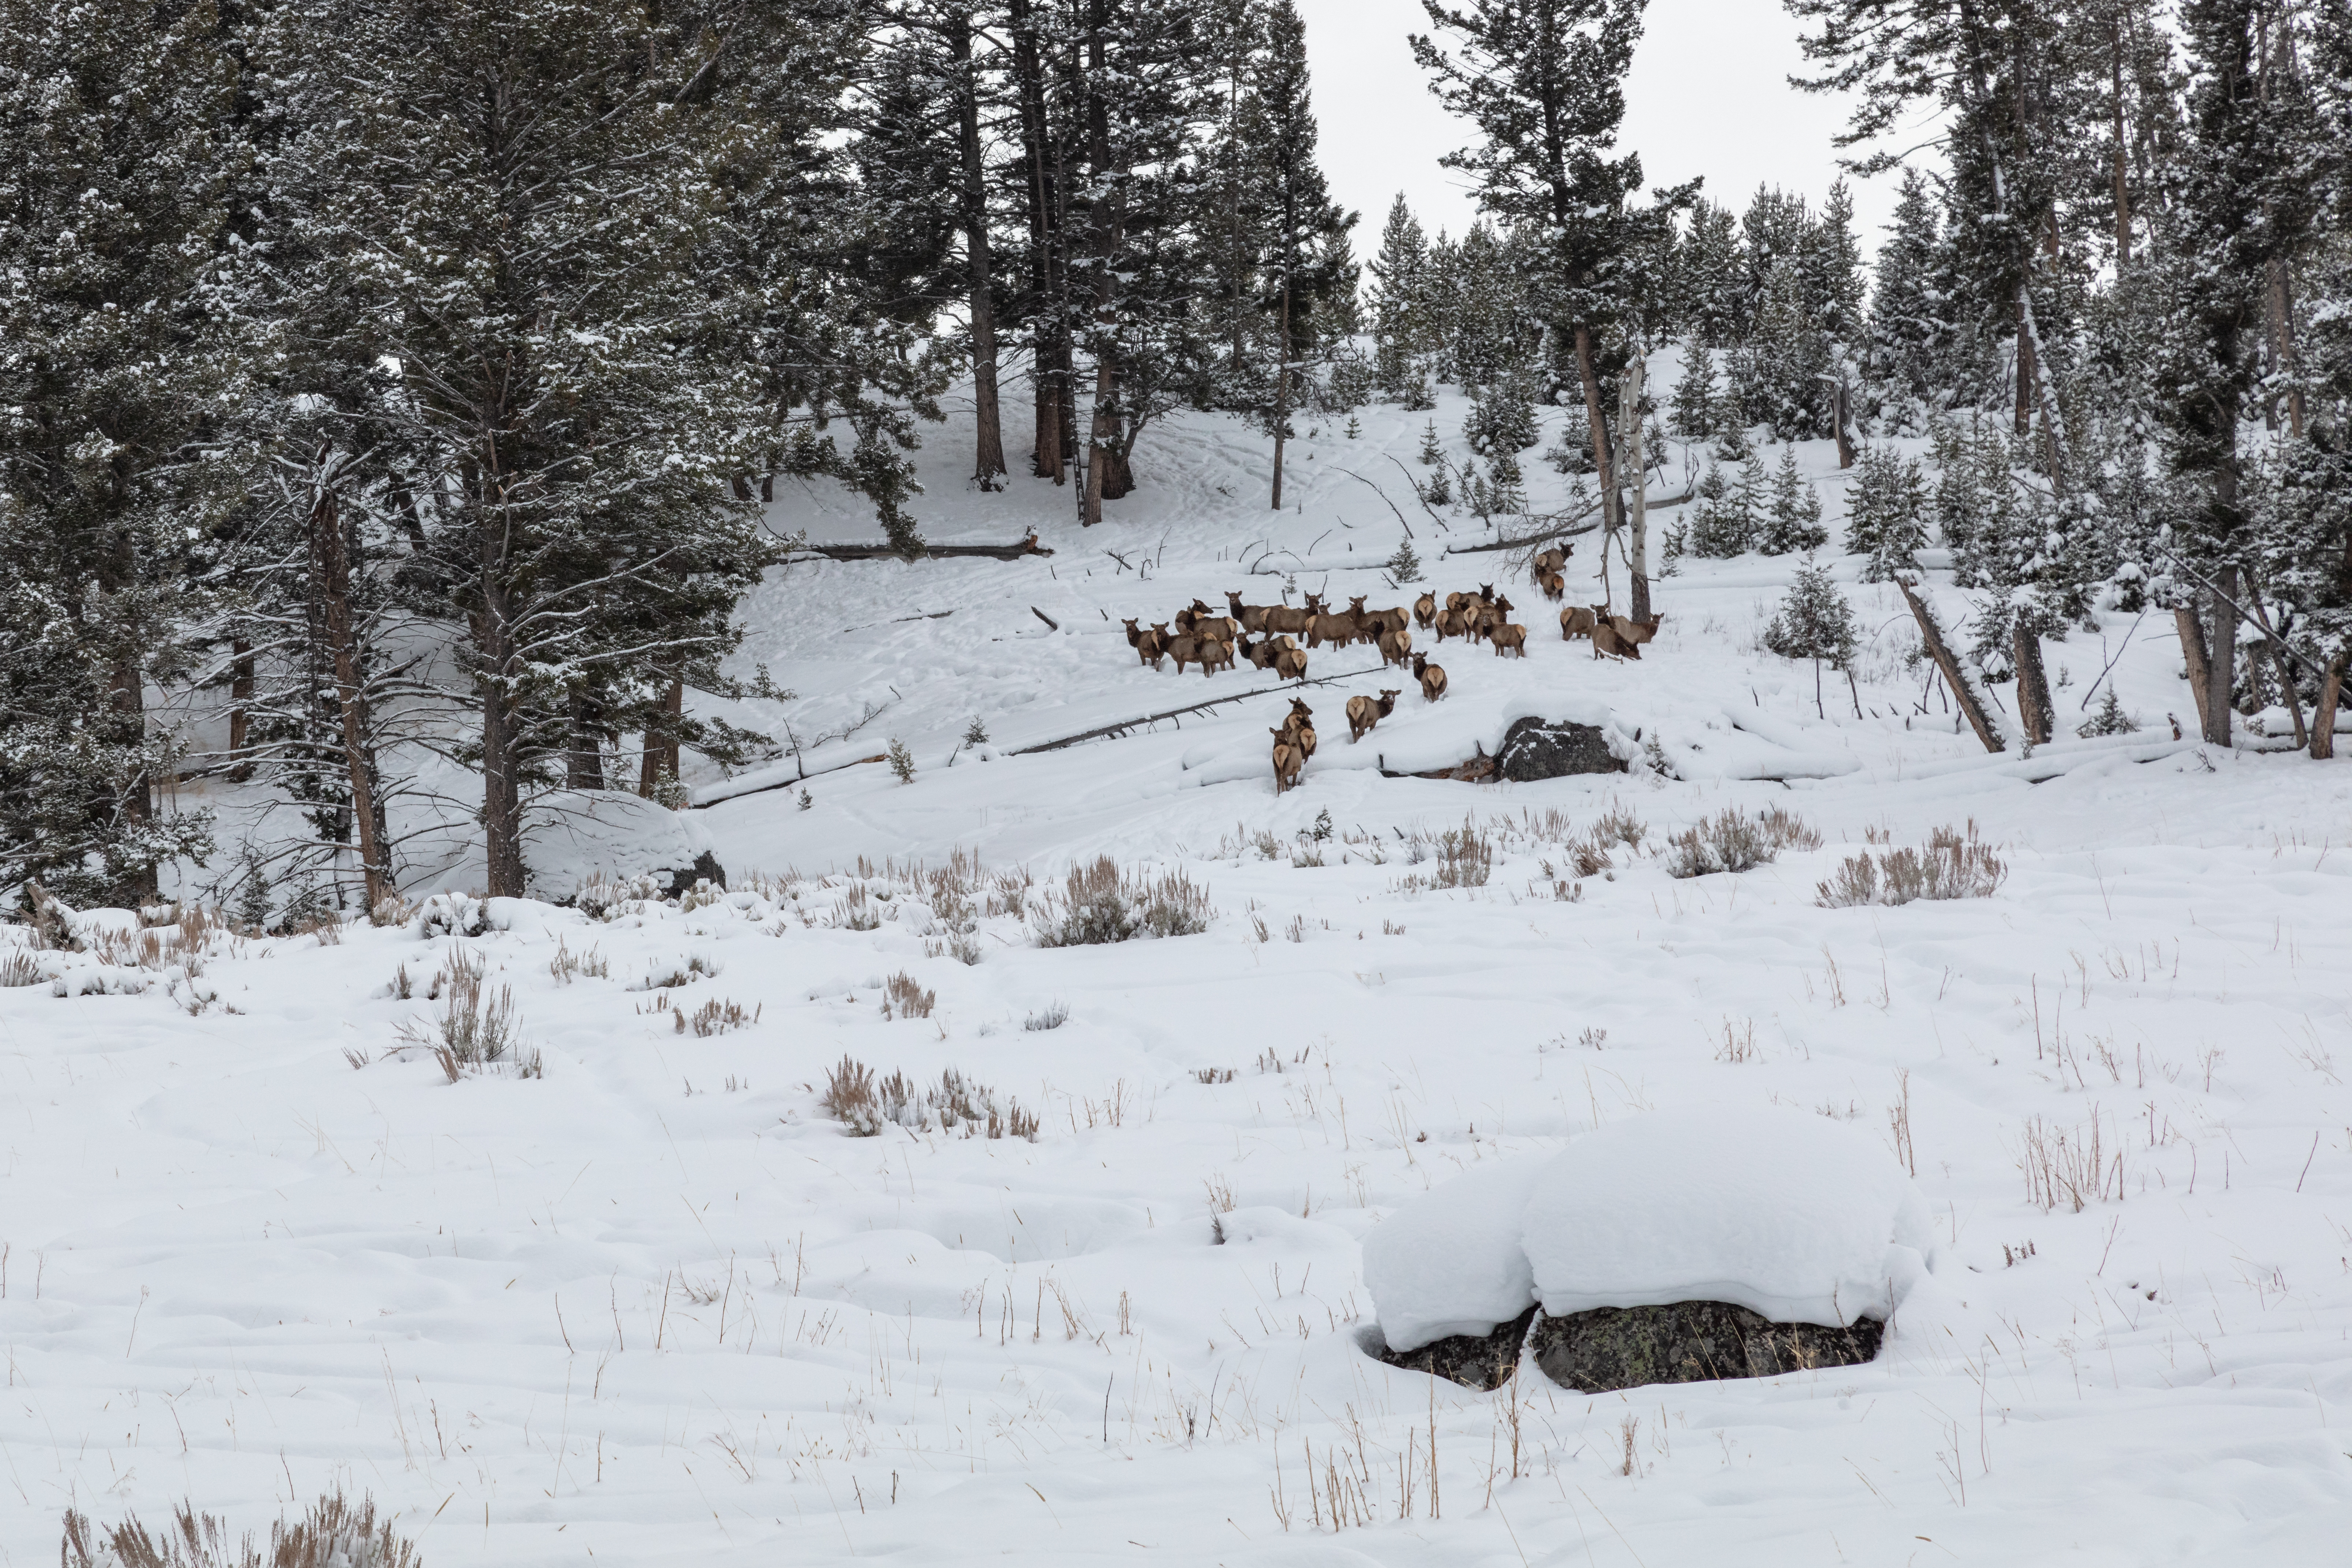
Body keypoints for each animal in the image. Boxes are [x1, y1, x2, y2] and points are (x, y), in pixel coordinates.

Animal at [1346, 689, 1401, 743]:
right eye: (1386, 696)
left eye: (1394, 696)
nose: (1392, 702)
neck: (1380, 712)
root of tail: (1356, 703)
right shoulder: (1374, 722)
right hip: (1363, 719)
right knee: (1358, 735)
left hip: (1351, 720)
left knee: (1354, 735)